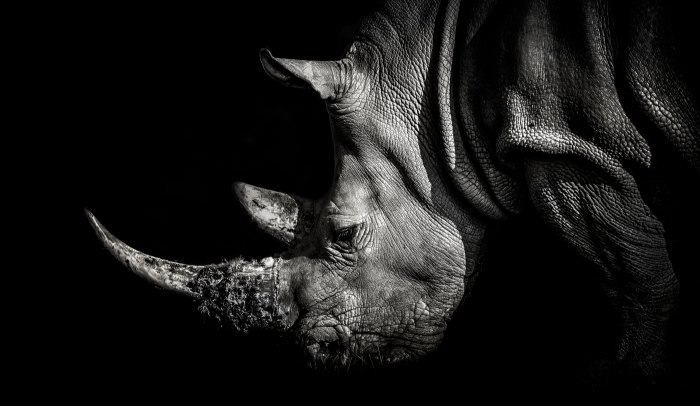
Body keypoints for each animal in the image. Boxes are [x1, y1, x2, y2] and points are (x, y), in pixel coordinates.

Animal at [86, 0, 698, 386]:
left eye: (344, 233)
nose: (316, 355)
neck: (439, 88)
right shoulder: (569, 142)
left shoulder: (567, 145)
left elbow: (636, 281)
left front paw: (623, 375)